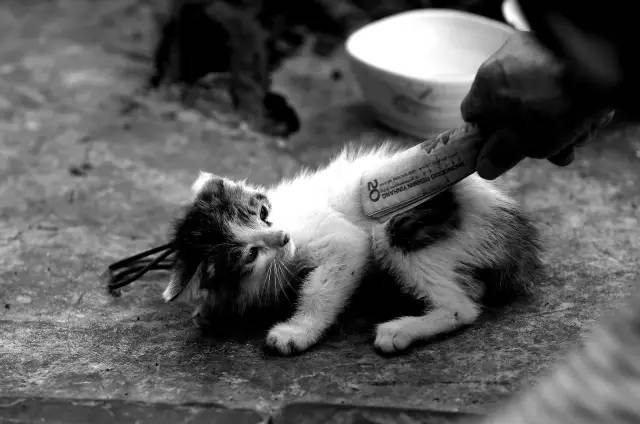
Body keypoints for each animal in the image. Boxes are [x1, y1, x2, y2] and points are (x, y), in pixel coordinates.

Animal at [163, 144, 542, 355]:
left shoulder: (342, 241)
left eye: (264, 215)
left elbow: (321, 287)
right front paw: (211, 308)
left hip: (397, 228)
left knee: (462, 308)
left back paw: (400, 331)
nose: (283, 237)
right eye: (251, 255)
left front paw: (297, 332)